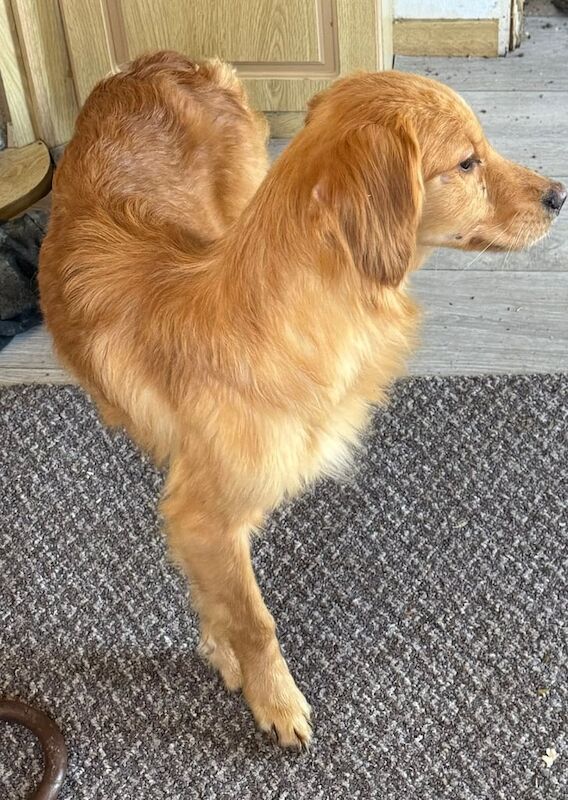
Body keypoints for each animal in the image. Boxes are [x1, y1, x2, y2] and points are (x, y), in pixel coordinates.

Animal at [38, 51, 564, 752]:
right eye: (466, 162)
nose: (560, 196)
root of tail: (157, 64)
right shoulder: (204, 516)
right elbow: (254, 620)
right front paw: (273, 698)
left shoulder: (202, 517)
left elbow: (223, 602)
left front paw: (223, 651)